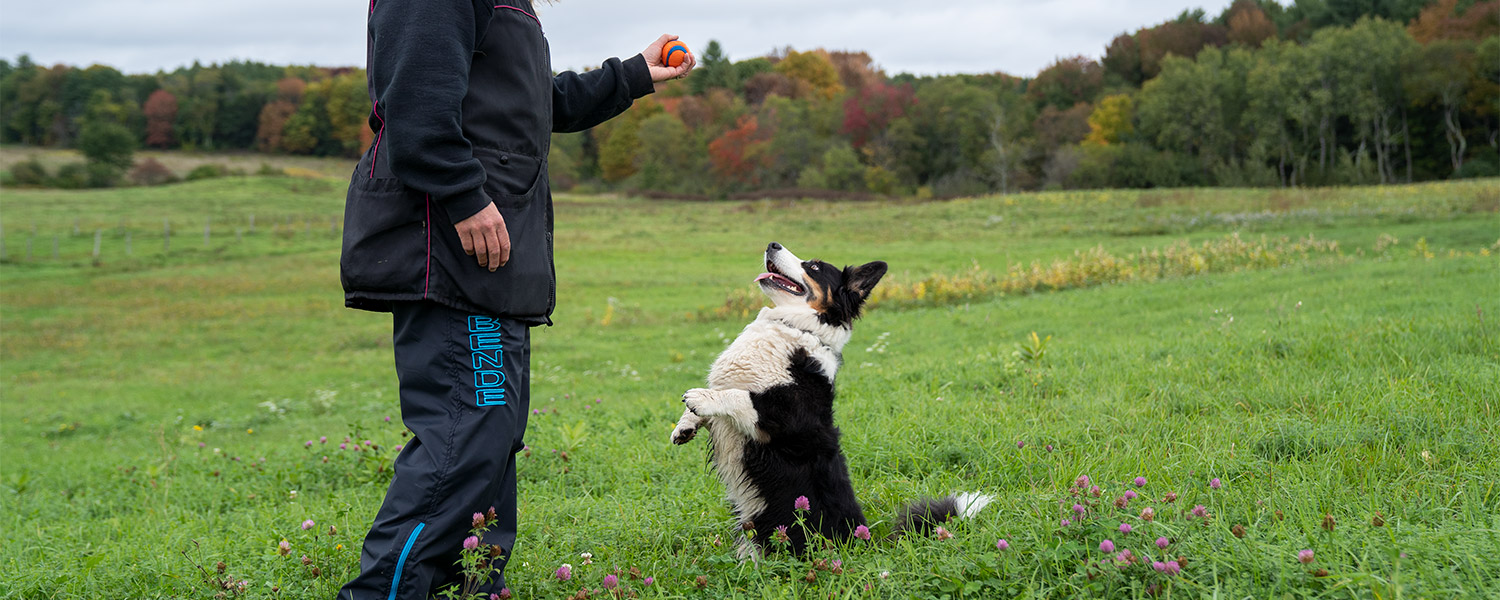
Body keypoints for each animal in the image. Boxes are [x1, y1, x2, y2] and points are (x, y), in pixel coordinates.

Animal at [675, 241, 990, 555]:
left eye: (813, 266)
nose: (772, 244)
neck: (795, 327)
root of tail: (866, 541)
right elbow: (717, 397)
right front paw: (685, 425)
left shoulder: (788, 418)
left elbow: (738, 396)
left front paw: (701, 398)